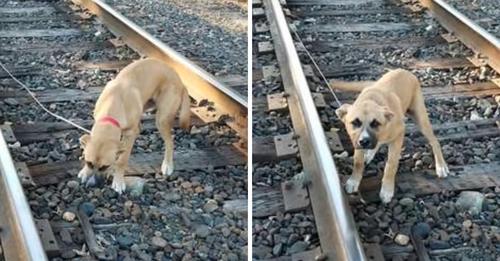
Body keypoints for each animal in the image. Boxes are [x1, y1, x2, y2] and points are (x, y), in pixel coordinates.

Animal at [79, 58, 190, 192]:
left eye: (105, 166)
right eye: (89, 163)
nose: (91, 185)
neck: (113, 103)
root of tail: (180, 81)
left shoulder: (130, 134)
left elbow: (122, 160)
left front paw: (118, 181)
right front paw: (84, 171)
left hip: (162, 119)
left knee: (170, 141)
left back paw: (167, 164)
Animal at [332, 68, 450, 201]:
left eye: (375, 123)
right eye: (355, 122)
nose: (365, 142)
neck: (372, 100)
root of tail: (404, 70)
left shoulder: (398, 135)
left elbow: (391, 164)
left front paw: (387, 189)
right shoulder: (357, 141)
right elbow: (358, 162)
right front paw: (354, 181)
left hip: (421, 118)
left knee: (434, 141)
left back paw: (441, 166)